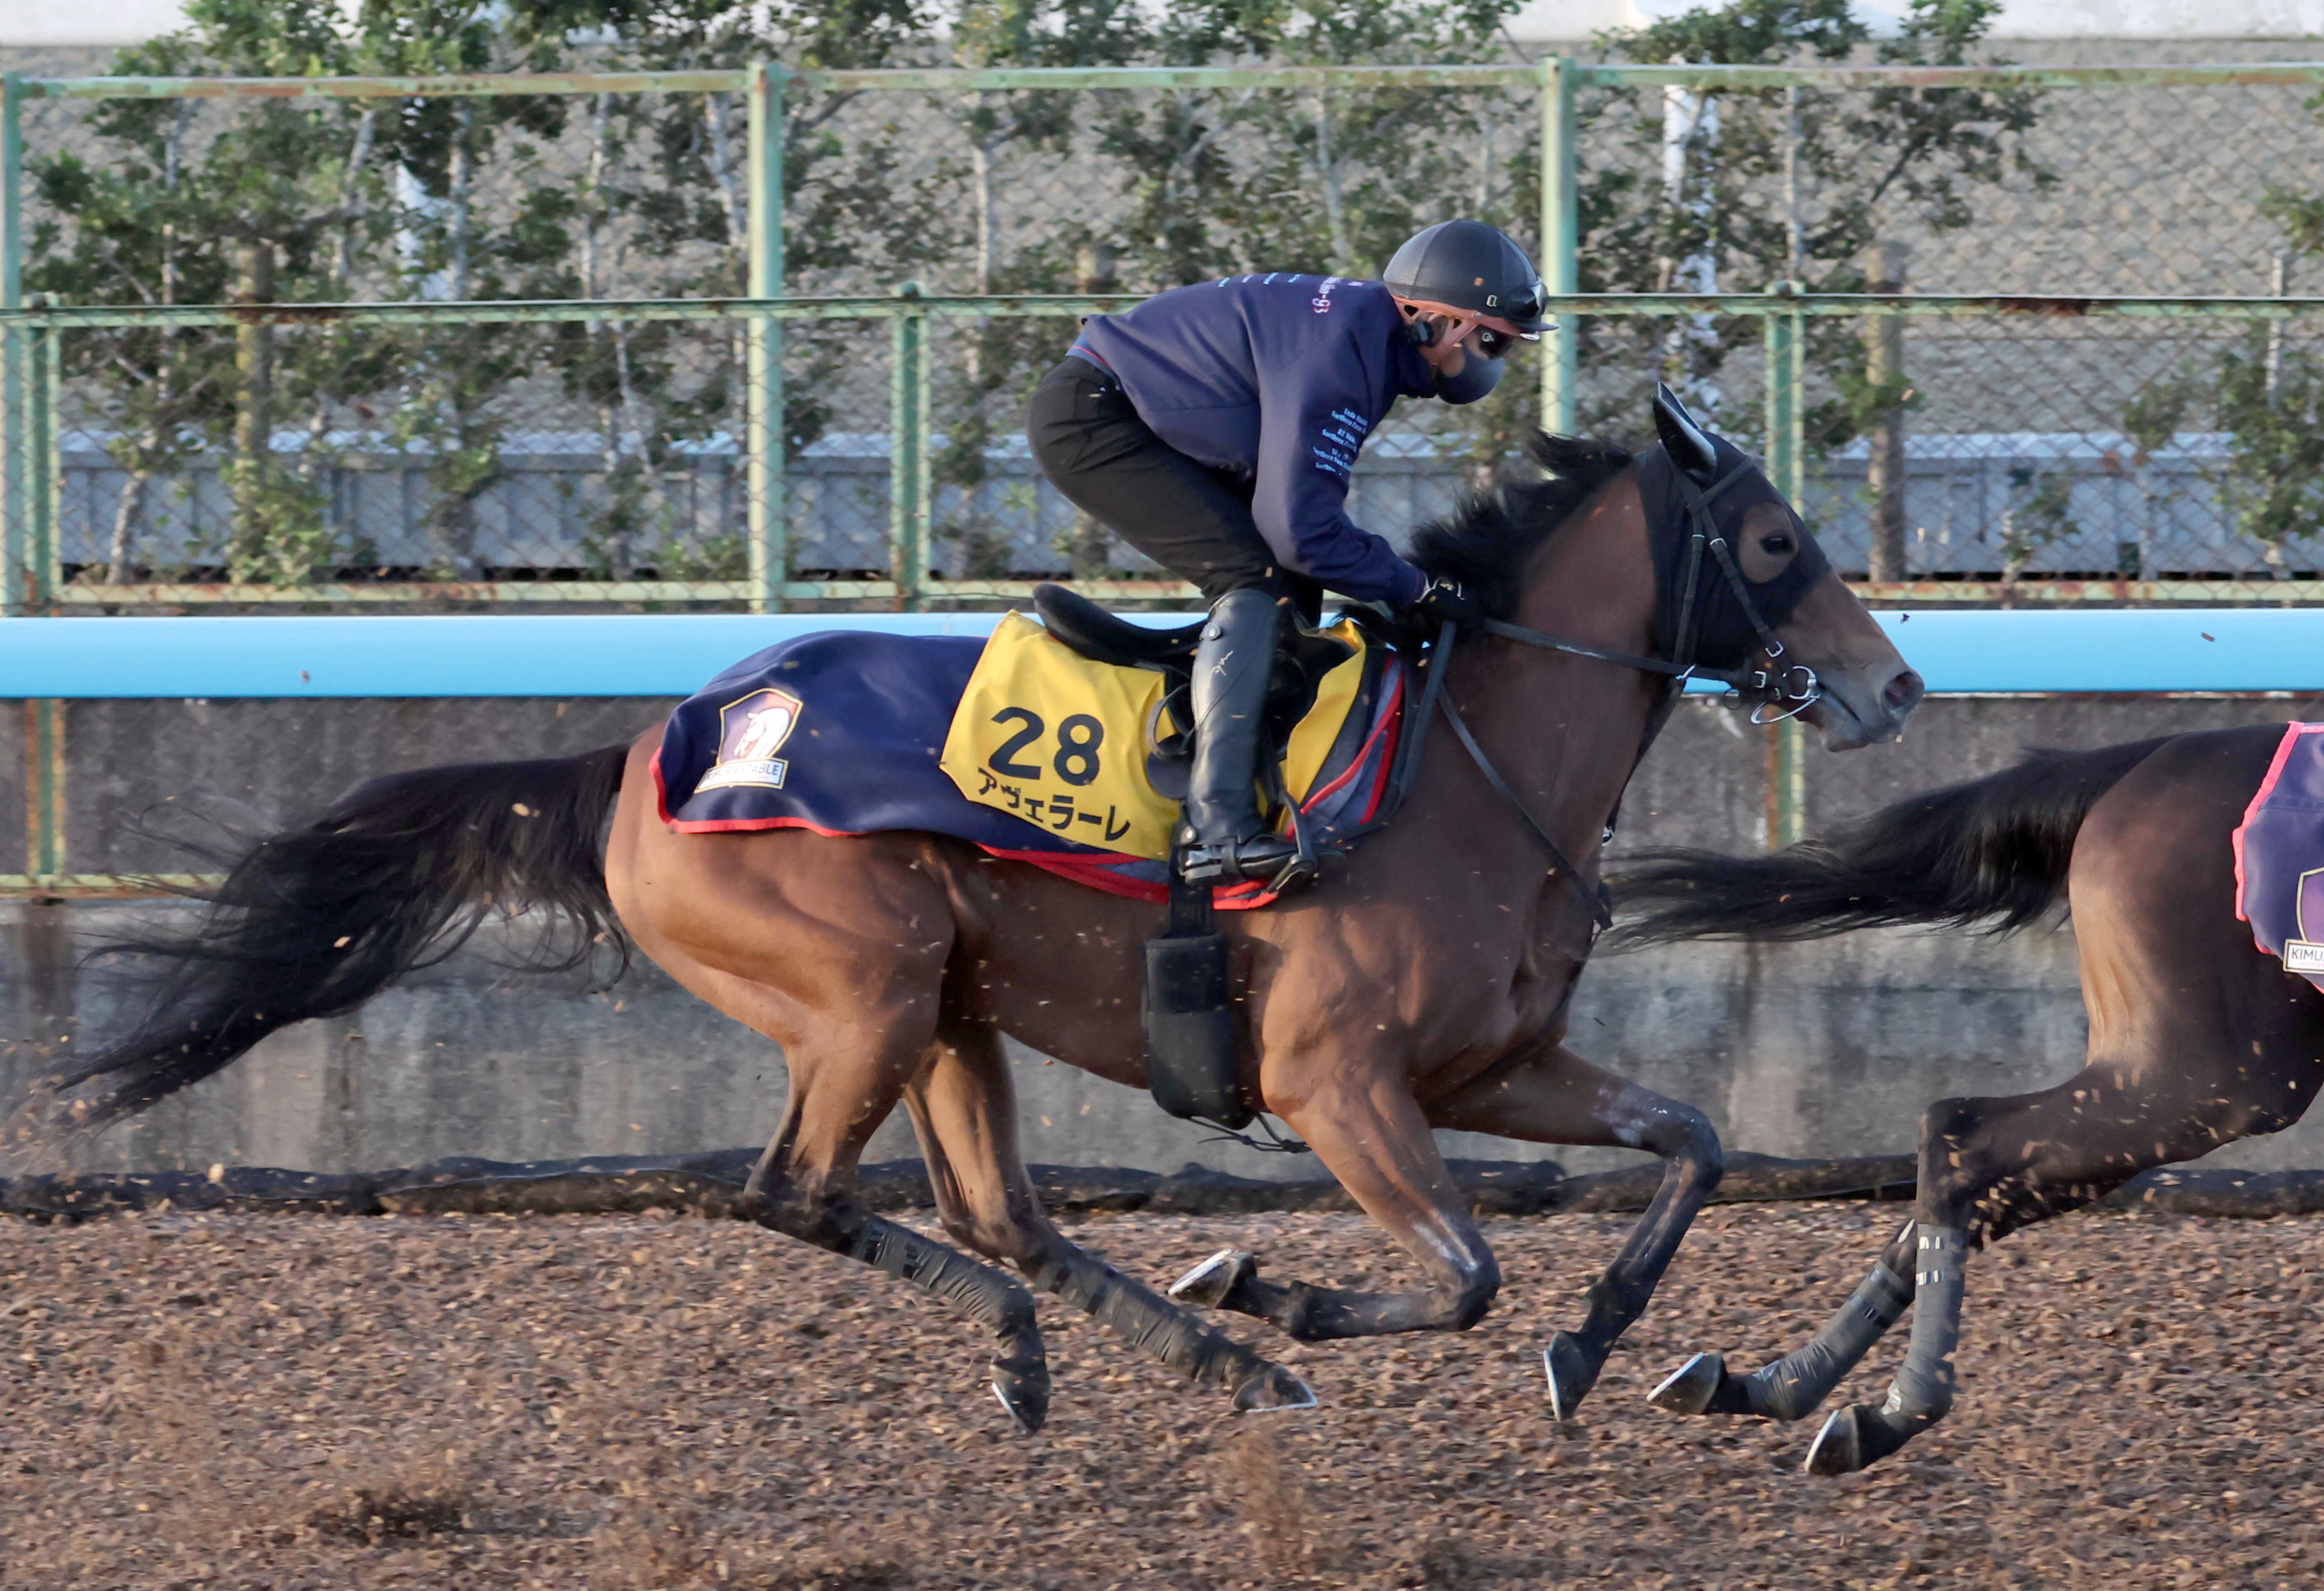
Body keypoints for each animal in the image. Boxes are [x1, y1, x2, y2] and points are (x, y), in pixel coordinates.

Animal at [32, 395, 1924, 1431]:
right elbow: (1458, 1270)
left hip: (949, 999)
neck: (1462, 765)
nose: (1896, 689)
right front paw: (1290, 1291)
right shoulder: (1331, 1082)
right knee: (794, 1193)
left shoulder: (1491, 1066)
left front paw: (1599, 1345)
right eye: (1770, 542)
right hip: (861, 989)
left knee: (997, 1212)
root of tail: (654, 746)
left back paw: (1187, 1363)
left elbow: (1690, 1143)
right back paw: (1131, 1344)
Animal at [1617, 725, 2324, 1468]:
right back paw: (1892, 1407)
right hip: (2205, 1079)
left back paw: (1782, 1387)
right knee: (1959, 1137)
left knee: (1979, 1177)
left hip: (2162, 1077)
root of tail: (2149, 758)